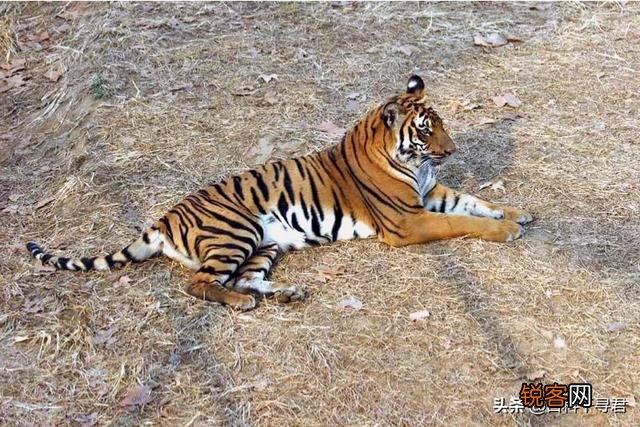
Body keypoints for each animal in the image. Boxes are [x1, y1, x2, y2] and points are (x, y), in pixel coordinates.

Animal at [27, 75, 533, 310]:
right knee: (202, 284)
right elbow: (460, 220)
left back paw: (288, 293)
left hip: (264, 243)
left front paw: (516, 213)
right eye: (427, 130)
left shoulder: (431, 194)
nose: (452, 149)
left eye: (440, 125)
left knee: (241, 278)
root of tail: (165, 218)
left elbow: (473, 201)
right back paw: (245, 303)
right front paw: (508, 230)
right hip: (237, 230)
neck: (415, 164)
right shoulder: (408, 220)